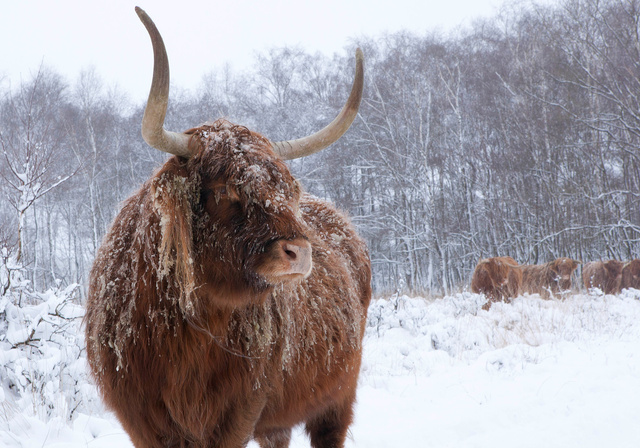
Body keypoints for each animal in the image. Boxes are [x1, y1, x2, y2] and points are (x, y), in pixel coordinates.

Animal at [87, 7, 372, 448]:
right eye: (224, 190)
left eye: (287, 189)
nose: (299, 252)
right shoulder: (141, 418)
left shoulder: (240, 411)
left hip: (338, 397)